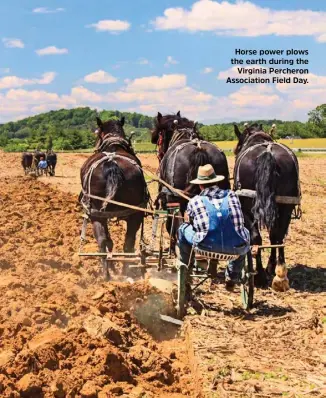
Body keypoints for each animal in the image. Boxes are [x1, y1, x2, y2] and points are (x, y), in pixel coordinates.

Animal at [79, 116, 148, 278]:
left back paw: (107, 274)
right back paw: (124, 272)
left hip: (96, 215)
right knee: (127, 243)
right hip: (135, 214)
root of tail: (112, 165)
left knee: (103, 241)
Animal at [152, 112, 230, 247]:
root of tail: (198, 149)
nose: (159, 154)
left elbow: (170, 225)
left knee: (177, 227)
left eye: (159, 136)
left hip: (175, 200)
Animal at [234, 123, 300, 284]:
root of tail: (268, 153)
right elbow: (274, 235)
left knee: (257, 237)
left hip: (247, 207)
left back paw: (260, 274)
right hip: (286, 206)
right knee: (279, 235)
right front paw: (271, 266)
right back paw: (280, 272)